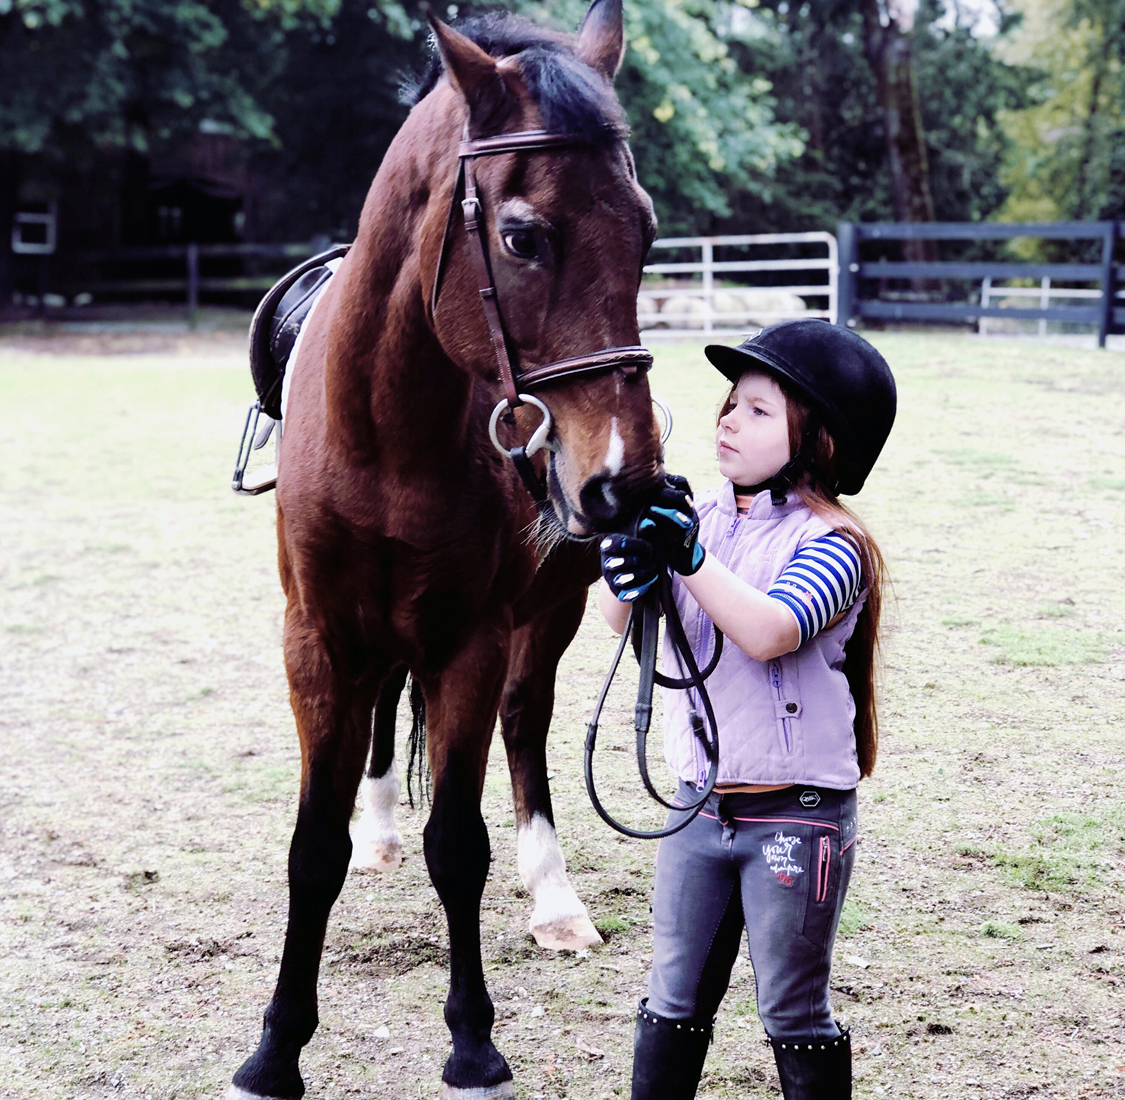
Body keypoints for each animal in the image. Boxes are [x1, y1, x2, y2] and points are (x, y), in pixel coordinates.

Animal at [230, 2, 666, 1097]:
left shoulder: (472, 639)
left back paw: (552, 895)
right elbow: (311, 847)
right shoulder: (318, 641)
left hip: (543, 616)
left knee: (523, 725)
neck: (386, 430)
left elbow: (461, 844)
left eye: (644, 230)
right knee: (390, 712)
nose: (626, 478)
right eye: (521, 235)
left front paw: (472, 1042)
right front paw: (275, 1046)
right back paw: (380, 827)